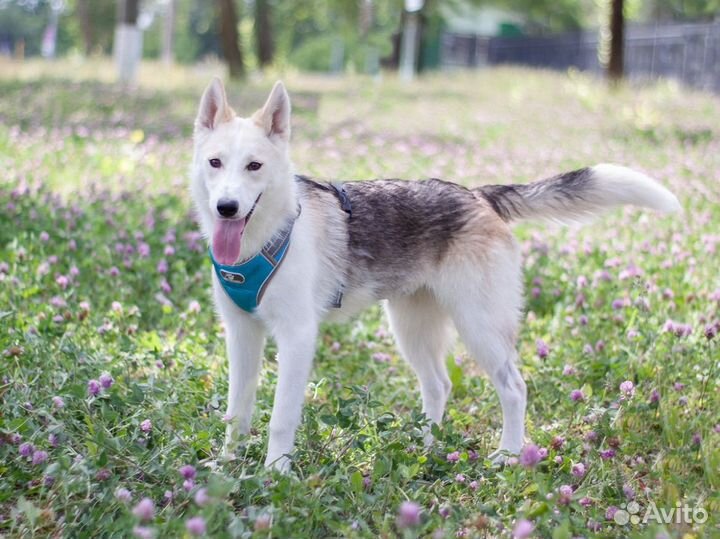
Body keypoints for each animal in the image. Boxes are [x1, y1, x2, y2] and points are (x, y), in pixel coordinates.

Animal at [191, 78, 680, 470]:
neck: (264, 237)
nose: (227, 208)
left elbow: (280, 419)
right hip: (412, 328)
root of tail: (479, 195)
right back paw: (426, 447)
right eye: (215, 163)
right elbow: (237, 411)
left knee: (514, 388)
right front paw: (226, 464)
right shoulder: (242, 335)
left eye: (254, 166)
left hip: (479, 326)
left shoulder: (296, 337)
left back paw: (507, 454)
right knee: (439, 385)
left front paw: (275, 474)